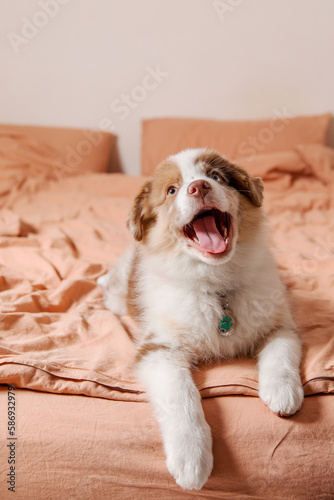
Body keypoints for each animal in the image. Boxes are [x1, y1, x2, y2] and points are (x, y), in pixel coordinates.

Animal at [98, 149, 304, 492]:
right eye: (172, 190)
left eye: (216, 176)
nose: (199, 187)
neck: (216, 285)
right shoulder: (157, 349)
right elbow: (180, 395)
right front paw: (191, 460)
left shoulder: (280, 322)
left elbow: (281, 351)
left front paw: (283, 392)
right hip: (119, 293)